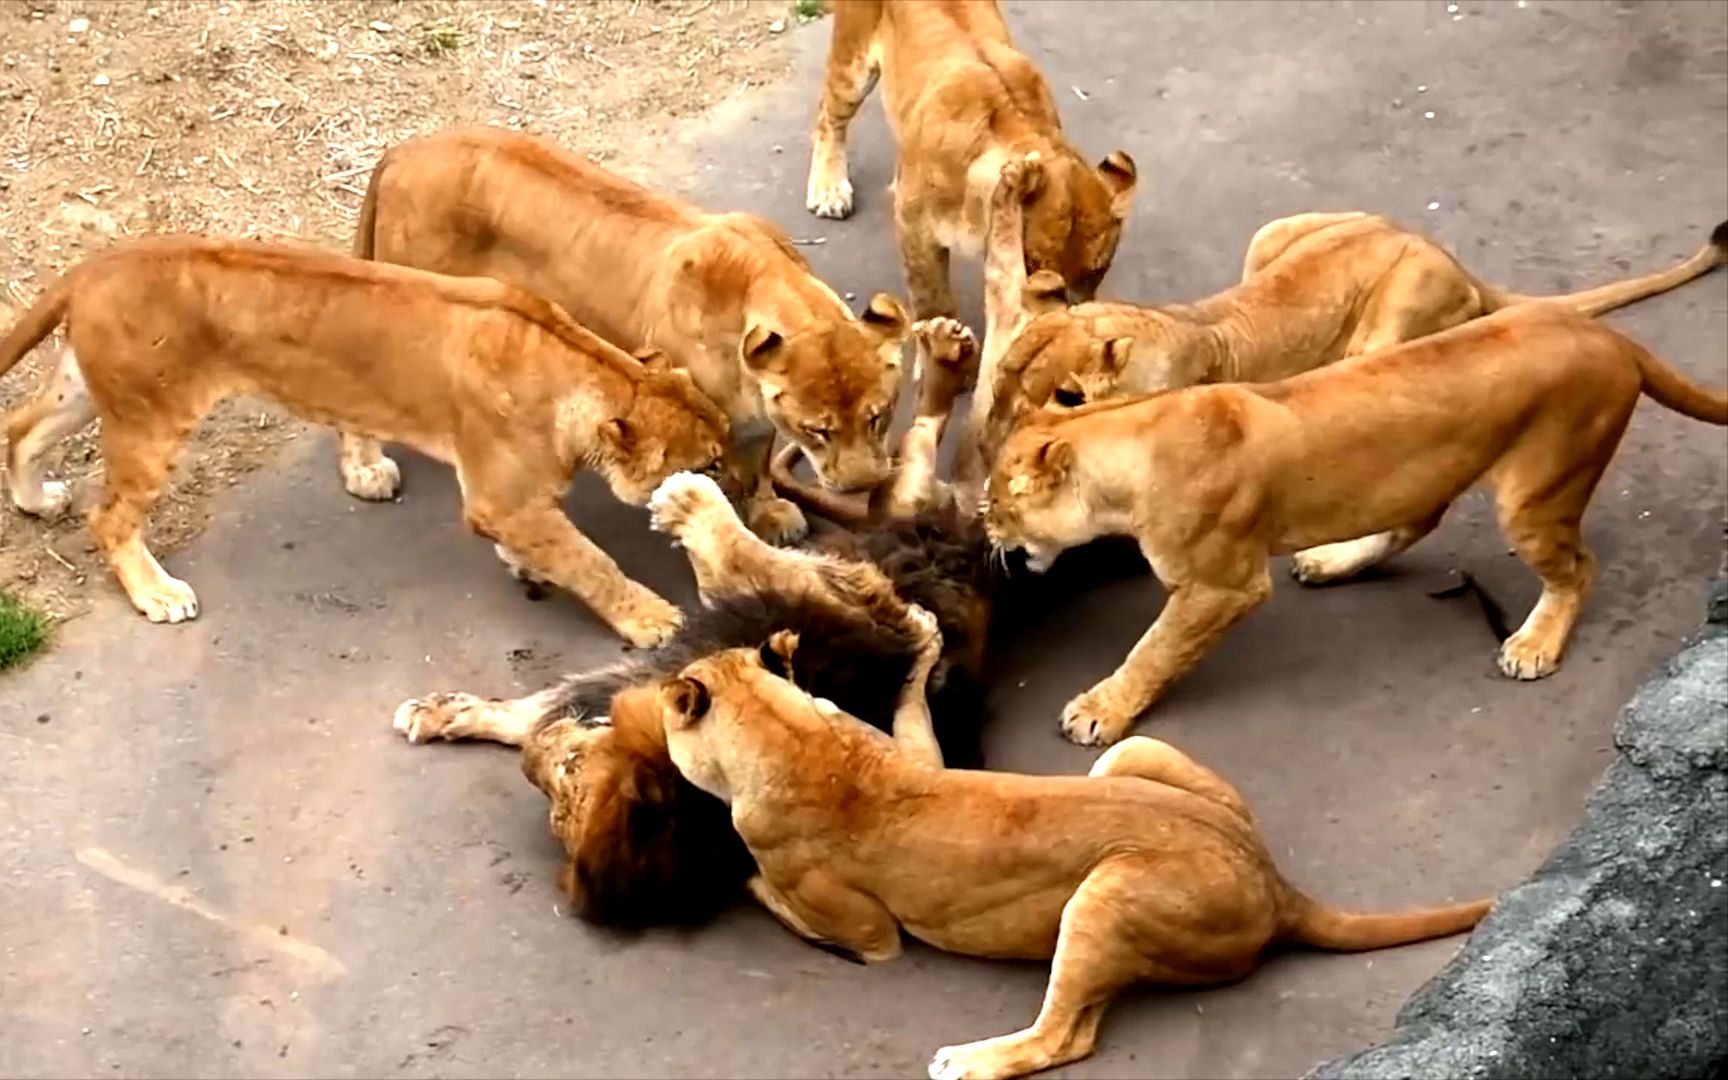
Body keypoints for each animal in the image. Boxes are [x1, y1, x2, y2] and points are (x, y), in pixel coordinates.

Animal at [0, 235, 729, 639]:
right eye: (711, 464)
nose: (732, 484)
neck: (589, 369)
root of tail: (94, 265)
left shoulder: (511, 501)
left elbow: (553, 546)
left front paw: (524, 564)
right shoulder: (500, 497)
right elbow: (590, 560)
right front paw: (651, 618)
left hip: (94, 392)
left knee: (21, 429)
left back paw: (37, 500)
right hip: (150, 418)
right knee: (109, 518)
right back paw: (157, 593)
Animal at [352, 127, 919, 542]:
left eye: (878, 416)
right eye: (817, 430)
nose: (862, 485)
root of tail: (402, 151)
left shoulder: (754, 420)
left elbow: (757, 469)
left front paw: (771, 515)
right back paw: (367, 472)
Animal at [653, 622, 1492, 1078]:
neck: (790, 734)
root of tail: (1276, 885)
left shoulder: (872, 935)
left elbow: (784, 900)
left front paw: (738, 878)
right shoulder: (907, 754)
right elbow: (915, 721)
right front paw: (923, 648)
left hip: (1106, 895)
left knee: (1065, 1037)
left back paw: (967, 1060)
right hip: (1131, 755)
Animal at [805, 0, 1140, 319]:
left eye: (1096, 272)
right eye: (1035, 273)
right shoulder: (913, 225)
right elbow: (933, 299)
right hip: (852, 59)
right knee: (829, 115)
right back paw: (829, 190)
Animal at [988, 298, 1728, 746]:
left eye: (997, 500)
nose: (987, 529)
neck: (1129, 441)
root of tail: (1609, 334)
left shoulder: (1222, 586)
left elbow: (1155, 649)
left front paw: (1100, 711)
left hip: (1537, 492)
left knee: (1579, 567)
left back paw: (1535, 644)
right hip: (1433, 472)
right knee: (1419, 519)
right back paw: (1334, 561)